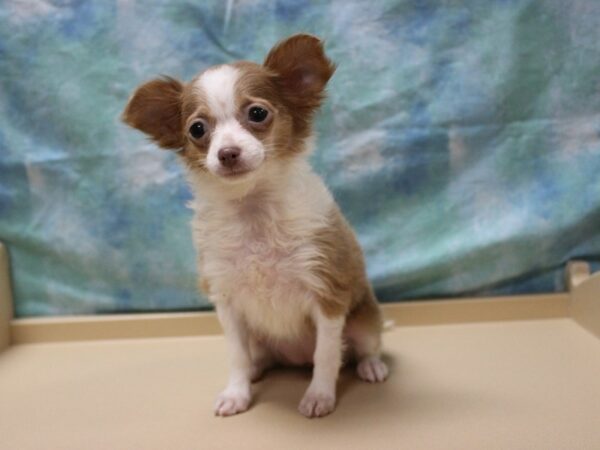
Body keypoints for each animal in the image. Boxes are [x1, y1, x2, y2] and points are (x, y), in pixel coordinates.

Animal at [123, 32, 390, 418]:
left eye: (257, 113)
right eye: (197, 129)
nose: (227, 153)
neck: (253, 211)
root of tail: (295, 359)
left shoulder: (327, 294)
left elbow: (326, 355)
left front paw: (319, 396)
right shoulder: (228, 302)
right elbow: (236, 356)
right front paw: (237, 393)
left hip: (363, 320)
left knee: (361, 347)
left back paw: (371, 366)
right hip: (261, 339)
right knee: (257, 357)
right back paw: (256, 370)